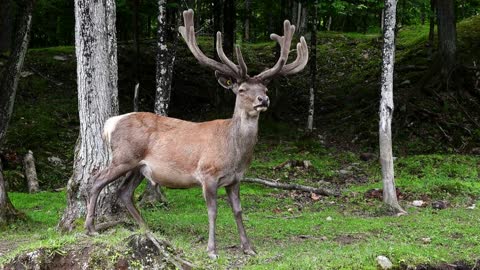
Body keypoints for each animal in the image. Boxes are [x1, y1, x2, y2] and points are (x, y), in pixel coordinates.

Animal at [86, 9, 310, 258]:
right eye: (242, 90)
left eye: (265, 88)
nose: (264, 100)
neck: (235, 153)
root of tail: (111, 123)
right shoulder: (207, 173)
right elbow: (213, 211)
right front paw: (212, 250)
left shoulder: (236, 179)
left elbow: (238, 210)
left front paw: (248, 248)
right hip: (124, 157)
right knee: (96, 180)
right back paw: (91, 228)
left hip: (138, 166)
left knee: (124, 192)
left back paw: (147, 230)